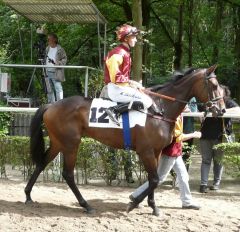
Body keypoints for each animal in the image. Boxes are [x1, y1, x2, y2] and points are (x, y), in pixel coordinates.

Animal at [23, 64, 225, 216]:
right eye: (214, 86)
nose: (221, 110)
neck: (160, 109)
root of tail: (51, 105)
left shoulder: (157, 151)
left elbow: (154, 179)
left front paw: (153, 206)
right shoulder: (145, 151)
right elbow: (154, 179)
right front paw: (133, 204)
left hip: (59, 142)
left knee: (41, 163)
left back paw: (28, 195)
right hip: (71, 144)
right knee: (68, 174)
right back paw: (86, 205)